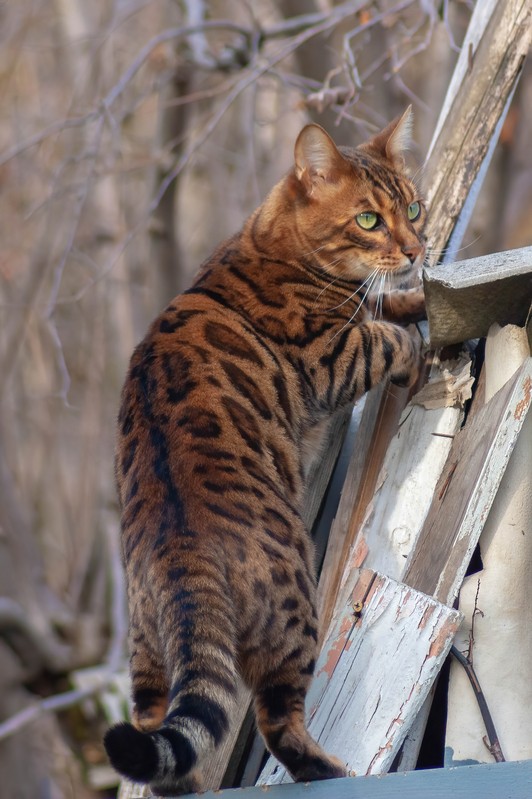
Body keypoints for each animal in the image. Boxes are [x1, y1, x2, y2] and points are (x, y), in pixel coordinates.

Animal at [104, 108, 428, 799]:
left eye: (413, 208)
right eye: (369, 219)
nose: (419, 247)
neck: (274, 241)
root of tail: (180, 554)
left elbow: (388, 302)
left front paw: (415, 296)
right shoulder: (331, 357)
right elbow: (385, 336)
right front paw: (414, 346)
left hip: (147, 658)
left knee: (159, 742)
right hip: (294, 612)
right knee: (278, 723)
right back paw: (333, 771)